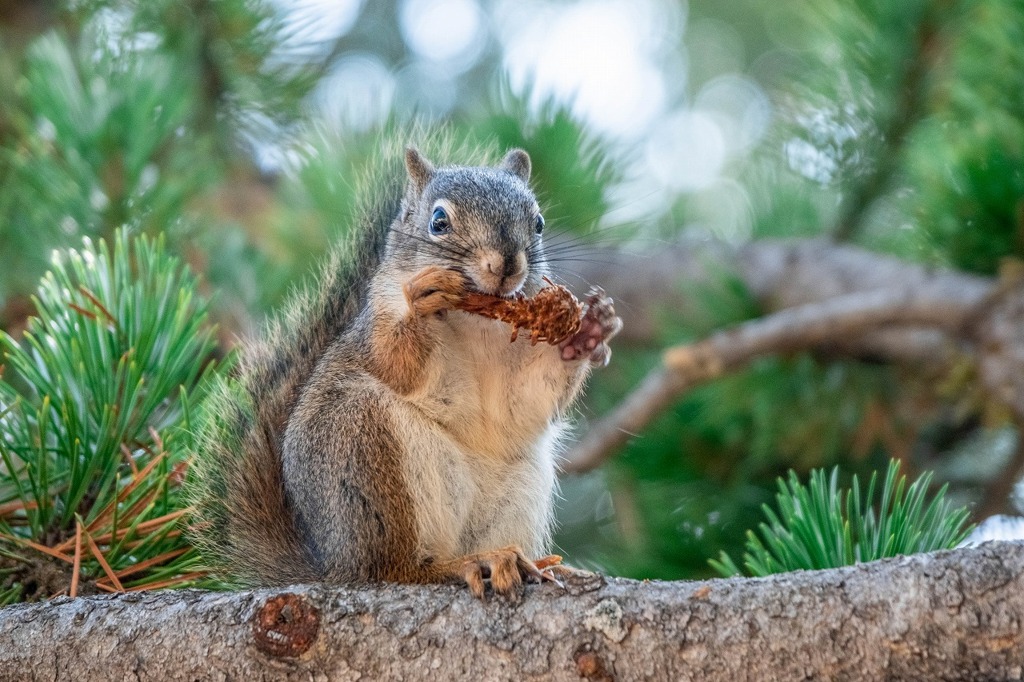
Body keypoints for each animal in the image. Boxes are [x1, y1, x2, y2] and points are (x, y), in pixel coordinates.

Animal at [190, 138, 622, 593]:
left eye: (538, 223)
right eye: (438, 221)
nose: (507, 264)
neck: (478, 319)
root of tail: (334, 564)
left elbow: (532, 398)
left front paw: (588, 331)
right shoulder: (379, 321)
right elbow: (396, 362)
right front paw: (422, 303)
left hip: (517, 491)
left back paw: (528, 563)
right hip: (363, 450)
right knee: (392, 568)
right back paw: (466, 565)